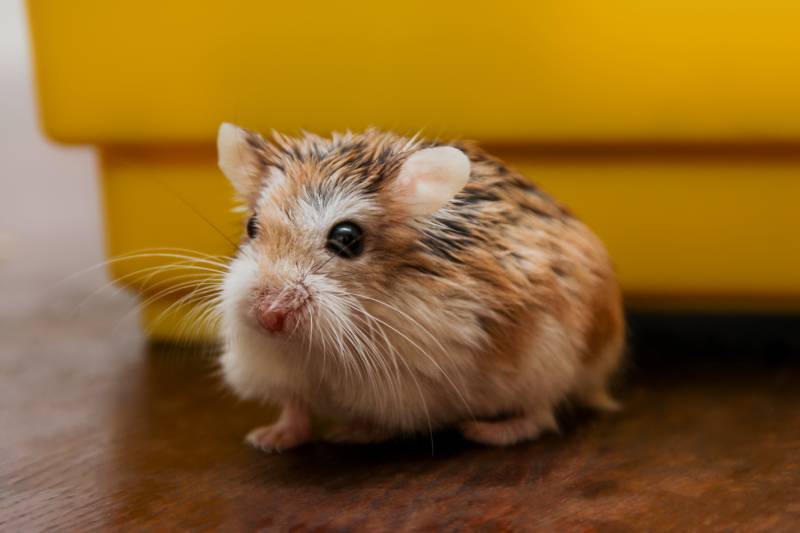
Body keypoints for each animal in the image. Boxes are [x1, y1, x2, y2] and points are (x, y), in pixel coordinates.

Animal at [216, 123, 624, 451]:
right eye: (252, 226)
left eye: (347, 239)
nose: (269, 316)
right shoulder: (281, 370)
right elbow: (294, 407)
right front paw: (266, 440)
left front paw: (350, 433)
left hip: (550, 361)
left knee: (541, 414)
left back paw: (482, 431)